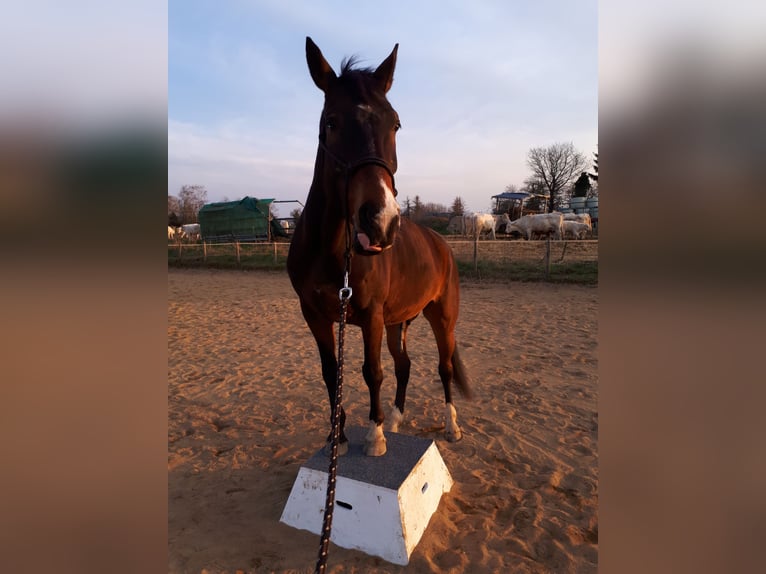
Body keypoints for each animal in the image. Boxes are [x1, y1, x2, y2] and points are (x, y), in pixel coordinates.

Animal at [287, 37, 472, 457]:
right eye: (331, 122)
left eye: (396, 124)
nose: (381, 221)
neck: (333, 251)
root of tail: (441, 244)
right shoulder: (316, 315)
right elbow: (332, 373)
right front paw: (337, 436)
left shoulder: (370, 314)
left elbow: (372, 372)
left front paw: (375, 436)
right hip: (396, 320)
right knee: (405, 364)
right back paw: (398, 418)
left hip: (441, 317)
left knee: (443, 367)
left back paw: (451, 425)